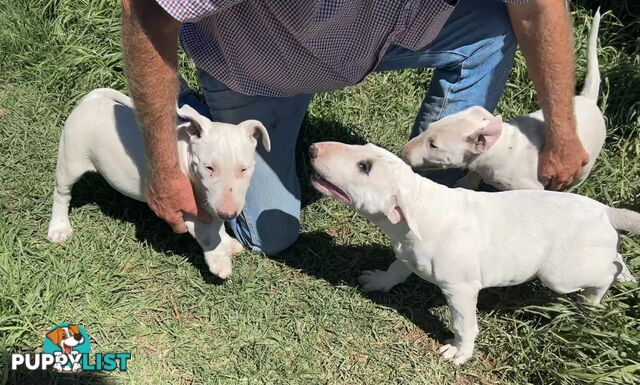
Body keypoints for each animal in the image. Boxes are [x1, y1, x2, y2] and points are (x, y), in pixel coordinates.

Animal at [47, 88, 270, 278]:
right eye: (209, 168)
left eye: (244, 169)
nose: (229, 213)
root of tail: (90, 100)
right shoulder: (182, 207)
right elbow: (208, 233)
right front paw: (219, 261)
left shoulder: (211, 201)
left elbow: (216, 224)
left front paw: (228, 243)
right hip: (71, 160)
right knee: (61, 194)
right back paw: (58, 228)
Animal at [308, 140, 636, 364]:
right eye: (361, 149)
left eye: (364, 167)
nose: (312, 149)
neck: (418, 209)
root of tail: (605, 212)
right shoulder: (407, 252)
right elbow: (397, 268)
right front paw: (379, 281)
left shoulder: (461, 288)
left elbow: (464, 324)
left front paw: (459, 352)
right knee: (615, 258)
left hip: (559, 275)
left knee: (605, 273)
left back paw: (593, 303)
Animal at [402, 11, 608, 191]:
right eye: (429, 127)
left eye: (434, 145)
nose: (403, 152)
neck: (500, 147)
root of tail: (589, 100)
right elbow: (473, 175)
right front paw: (465, 184)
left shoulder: (529, 187)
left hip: (583, 167)